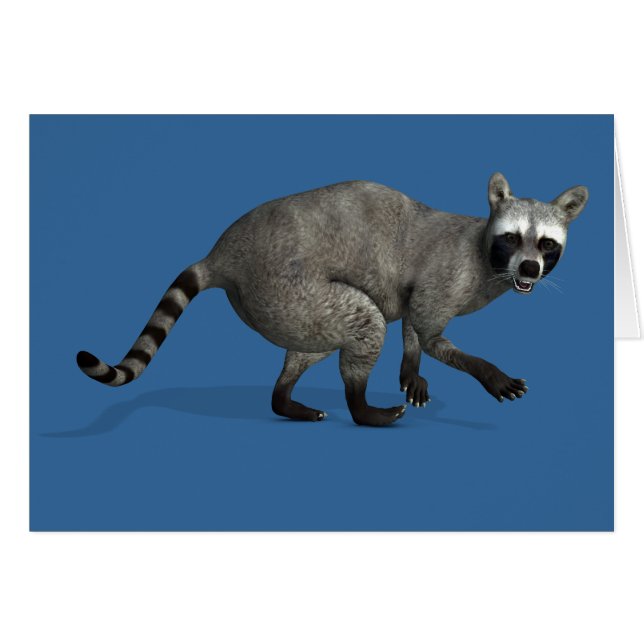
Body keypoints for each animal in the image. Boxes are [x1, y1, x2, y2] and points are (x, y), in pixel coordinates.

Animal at [77, 173, 588, 426]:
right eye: (512, 239)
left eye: (546, 244)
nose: (529, 269)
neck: (487, 257)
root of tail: (224, 253)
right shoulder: (447, 276)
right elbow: (429, 332)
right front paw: (488, 372)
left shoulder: (419, 286)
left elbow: (411, 323)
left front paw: (410, 367)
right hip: (288, 284)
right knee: (365, 322)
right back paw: (361, 408)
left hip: (285, 306)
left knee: (314, 346)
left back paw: (285, 398)